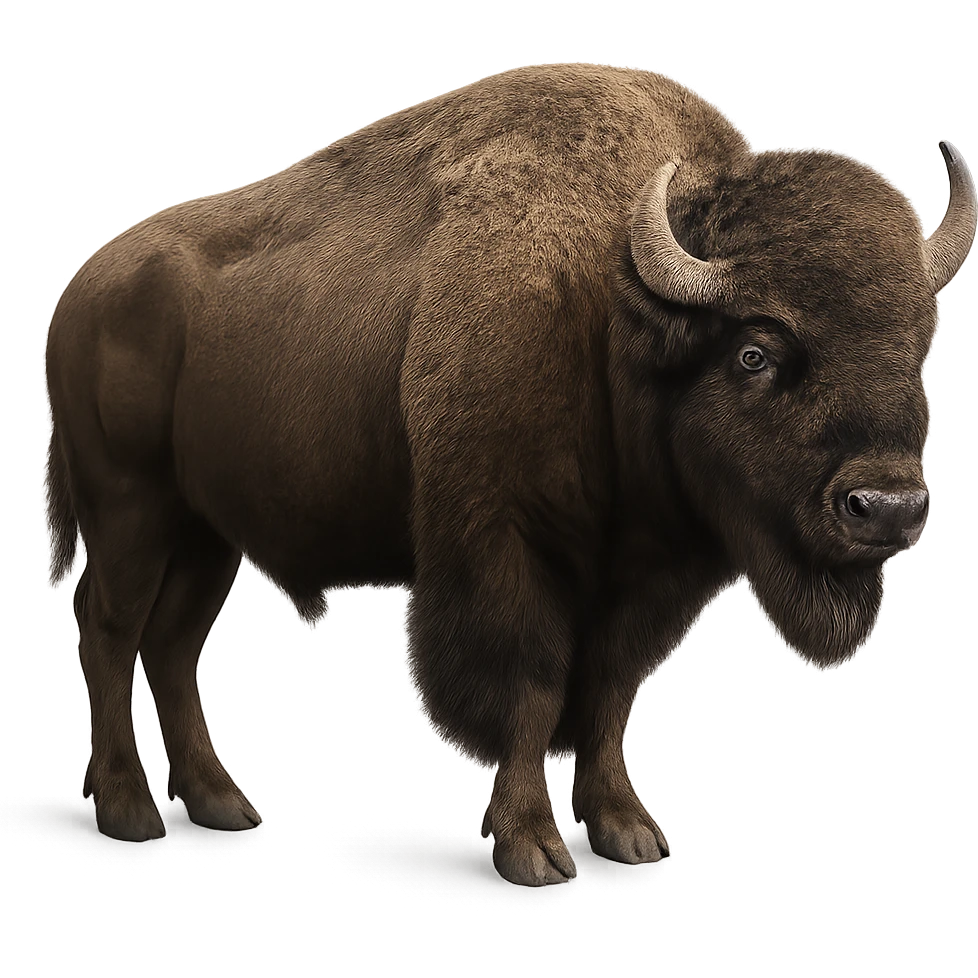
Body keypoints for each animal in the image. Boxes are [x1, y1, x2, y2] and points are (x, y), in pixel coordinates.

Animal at [43, 62, 976, 887]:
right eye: (754, 351)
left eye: (917, 349)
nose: (888, 507)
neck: (611, 306)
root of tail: (80, 290)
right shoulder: (505, 549)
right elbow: (530, 687)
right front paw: (531, 848)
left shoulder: (648, 577)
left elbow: (607, 693)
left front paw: (626, 831)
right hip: (129, 512)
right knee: (109, 627)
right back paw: (127, 808)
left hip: (205, 534)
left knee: (172, 644)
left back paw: (217, 803)